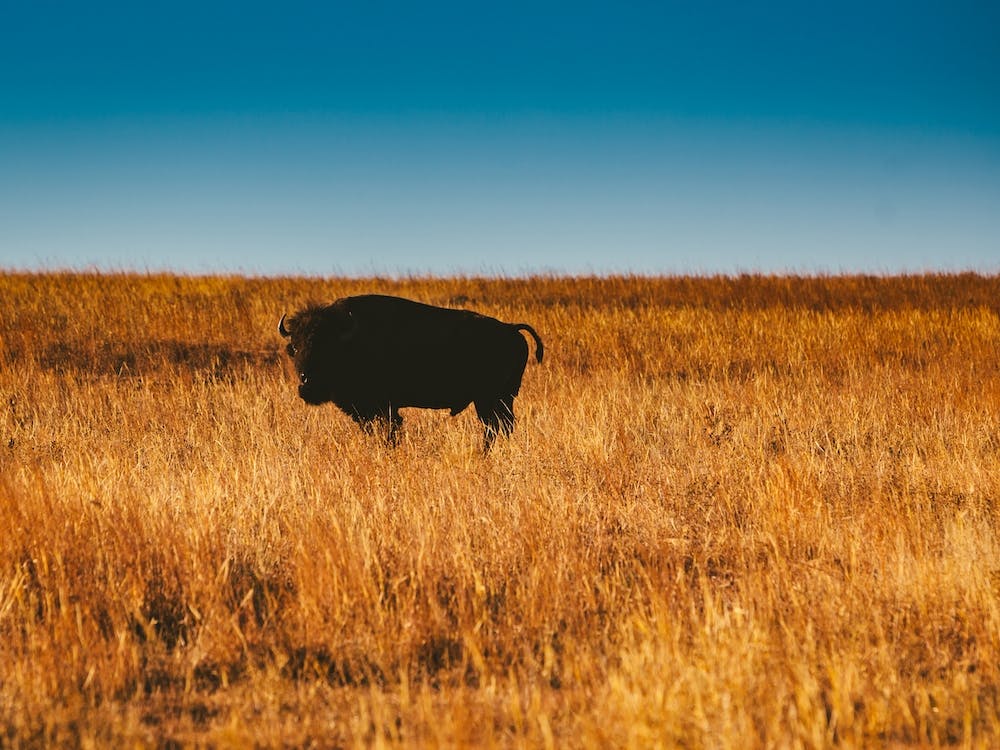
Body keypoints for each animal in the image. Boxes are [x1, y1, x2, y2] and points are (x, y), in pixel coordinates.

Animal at [278, 294, 543, 450]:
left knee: (495, 427)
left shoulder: (384, 407)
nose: (306, 383)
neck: (349, 337)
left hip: (490, 400)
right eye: (295, 347)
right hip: (500, 399)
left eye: (326, 346)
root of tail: (511, 329)